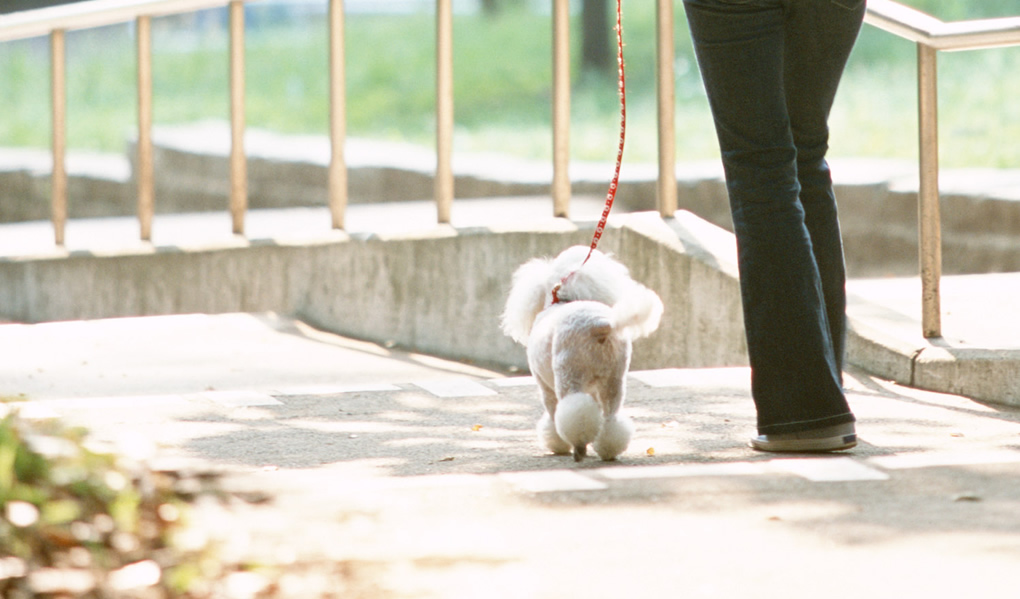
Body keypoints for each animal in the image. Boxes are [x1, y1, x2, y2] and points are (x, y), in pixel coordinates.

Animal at [499, 245, 660, 461]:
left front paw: (557, 443)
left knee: (574, 411)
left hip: (569, 373)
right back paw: (608, 449)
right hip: (614, 378)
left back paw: (579, 447)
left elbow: (552, 414)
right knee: (611, 418)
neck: (560, 301)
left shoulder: (545, 387)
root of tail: (600, 325)